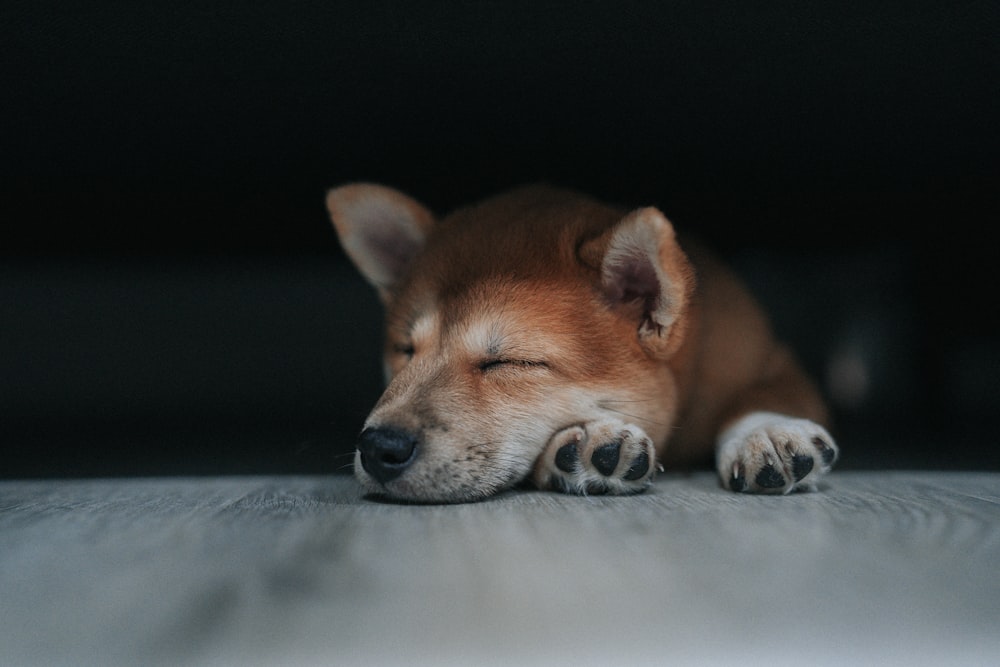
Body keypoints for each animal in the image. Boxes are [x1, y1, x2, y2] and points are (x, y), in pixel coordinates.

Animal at [328, 183, 836, 500]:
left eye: (511, 362)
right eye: (405, 351)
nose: (378, 447)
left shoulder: (770, 359)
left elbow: (762, 395)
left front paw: (768, 431)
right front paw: (592, 442)